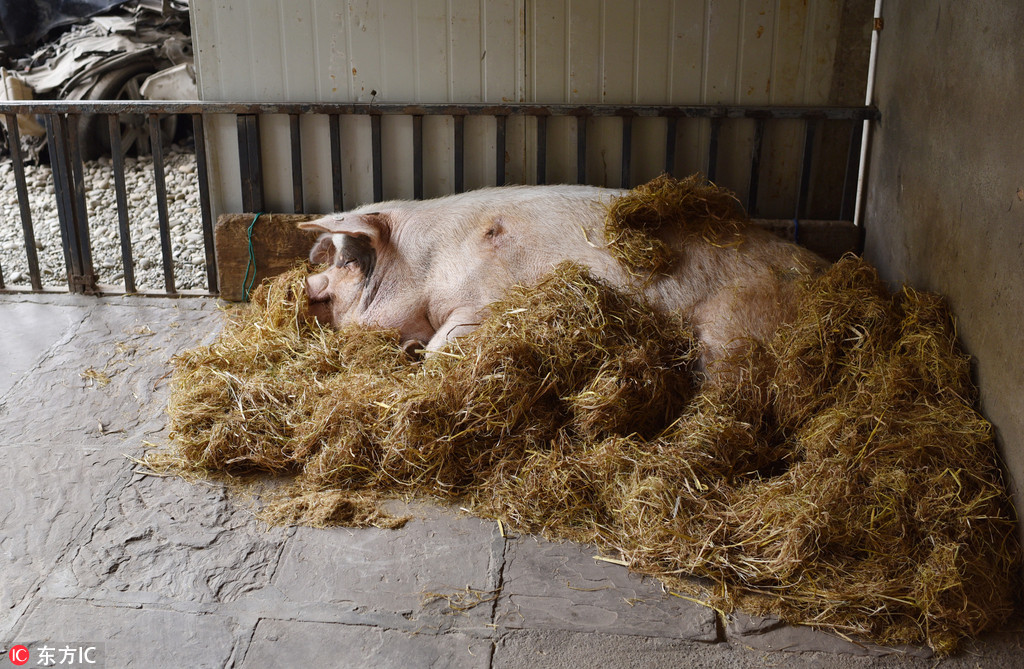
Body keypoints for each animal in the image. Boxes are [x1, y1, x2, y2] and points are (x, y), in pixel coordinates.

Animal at [296, 184, 823, 370]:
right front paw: (410, 349)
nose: (308, 290)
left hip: (731, 328)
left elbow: (443, 348)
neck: (426, 265)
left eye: (347, 262)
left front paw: (417, 353)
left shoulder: (484, 301)